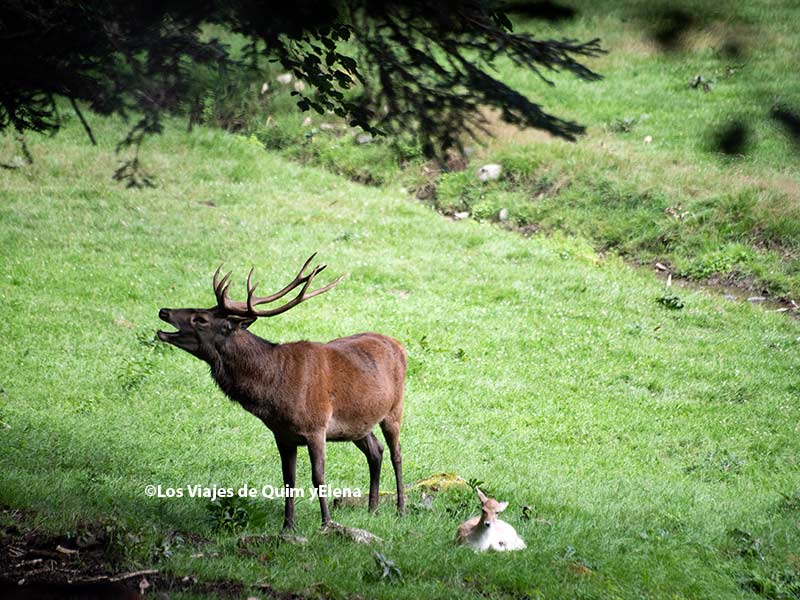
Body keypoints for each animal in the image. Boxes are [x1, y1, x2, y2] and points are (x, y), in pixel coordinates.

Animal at [156, 253, 406, 531]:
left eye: (200, 320)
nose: (164, 311)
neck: (275, 391)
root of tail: (398, 344)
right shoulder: (282, 434)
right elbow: (288, 480)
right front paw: (288, 526)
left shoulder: (316, 426)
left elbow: (318, 477)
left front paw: (326, 523)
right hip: (358, 423)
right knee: (375, 451)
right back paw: (373, 509)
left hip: (394, 409)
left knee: (396, 453)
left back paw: (400, 509)